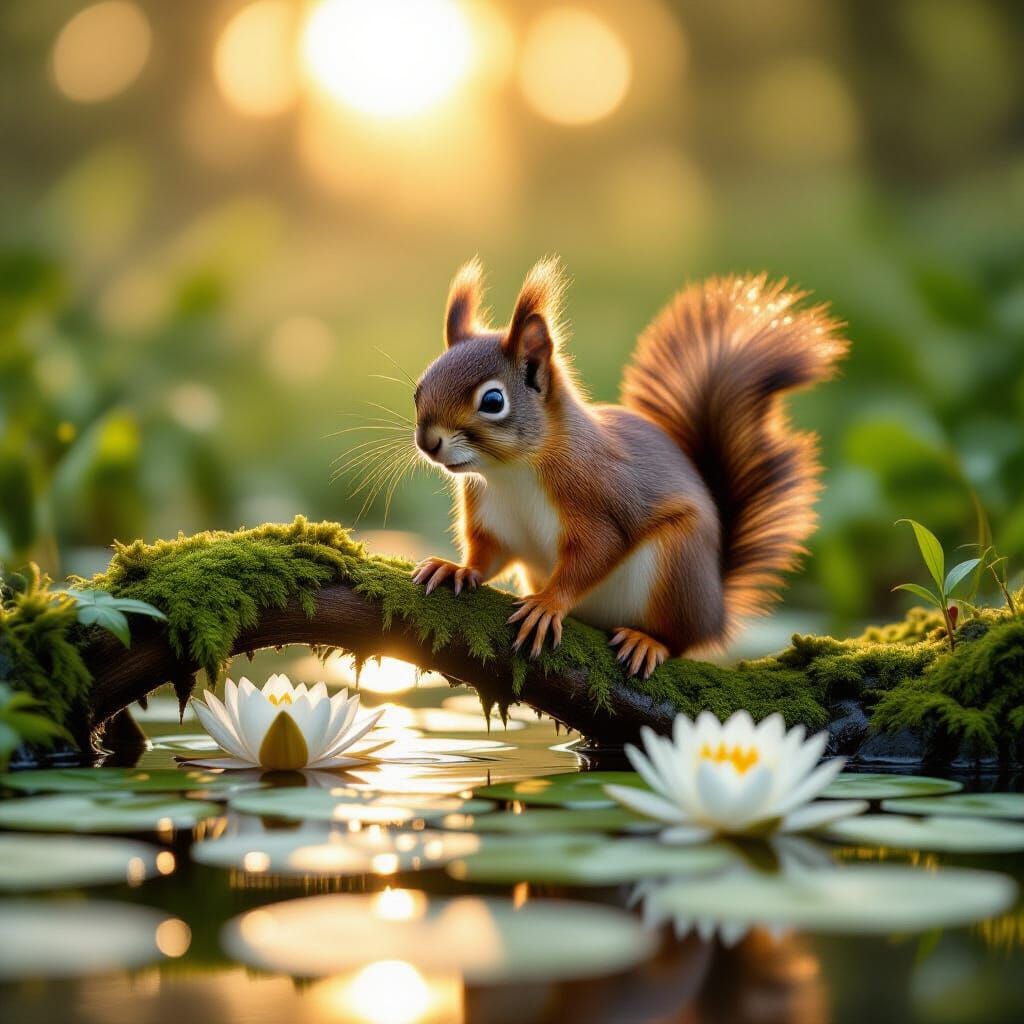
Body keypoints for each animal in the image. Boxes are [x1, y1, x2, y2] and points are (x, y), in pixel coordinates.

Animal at [410, 258, 848, 678]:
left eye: (493, 401)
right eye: (419, 389)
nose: (428, 442)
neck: (510, 472)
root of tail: (716, 610)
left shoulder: (598, 499)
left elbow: (595, 553)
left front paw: (548, 604)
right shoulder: (491, 514)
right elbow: (488, 555)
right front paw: (456, 568)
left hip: (676, 567)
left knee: (679, 640)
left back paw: (647, 641)